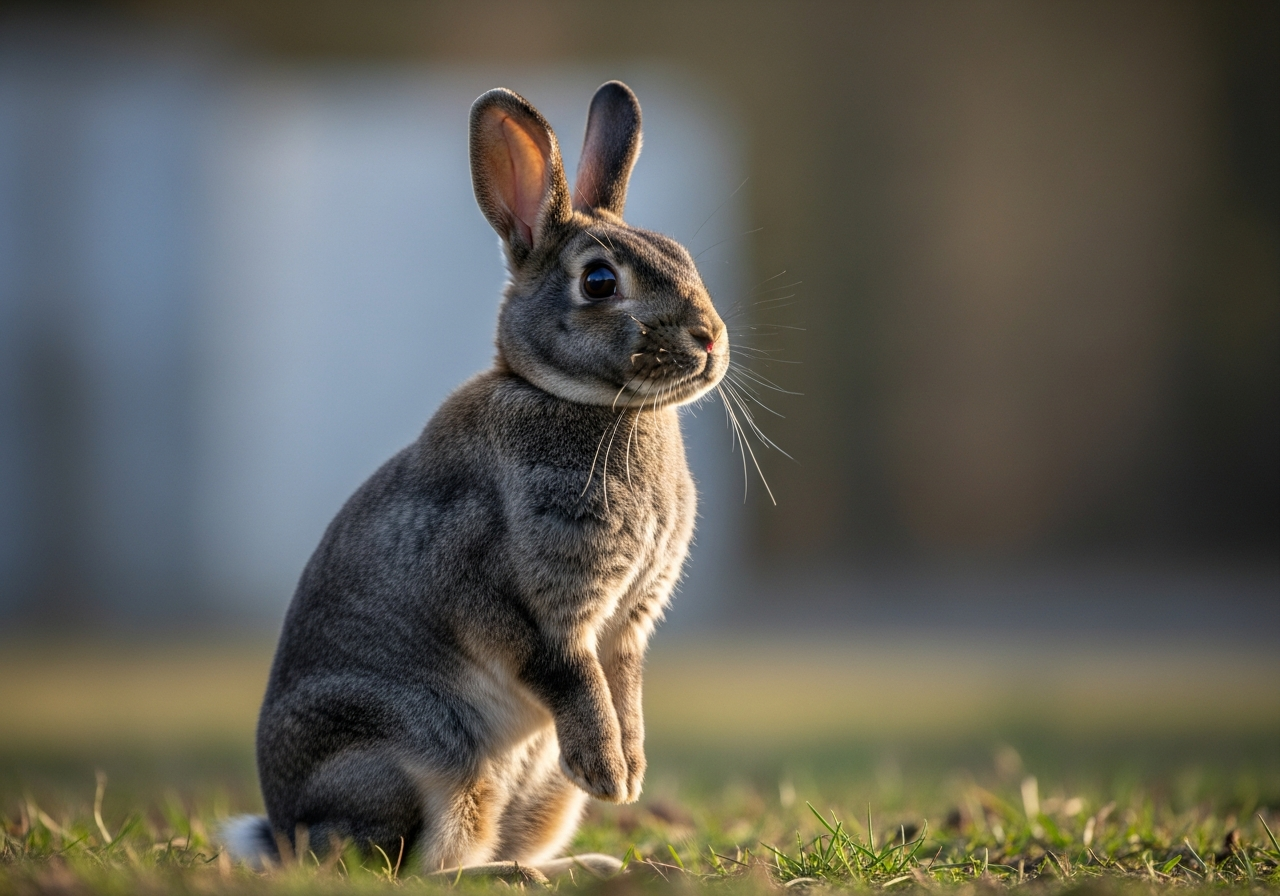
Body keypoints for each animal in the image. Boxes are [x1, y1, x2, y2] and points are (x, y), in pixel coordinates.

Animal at [222, 80, 728, 879]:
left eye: (680, 255)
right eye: (599, 281)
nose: (710, 338)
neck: (592, 403)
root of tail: (287, 829)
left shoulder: (628, 623)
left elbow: (623, 688)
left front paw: (631, 774)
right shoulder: (530, 603)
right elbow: (572, 676)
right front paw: (610, 775)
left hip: (535, 793)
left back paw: (585, 868)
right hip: (415, 763)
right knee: (408, 867)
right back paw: (518, 875)